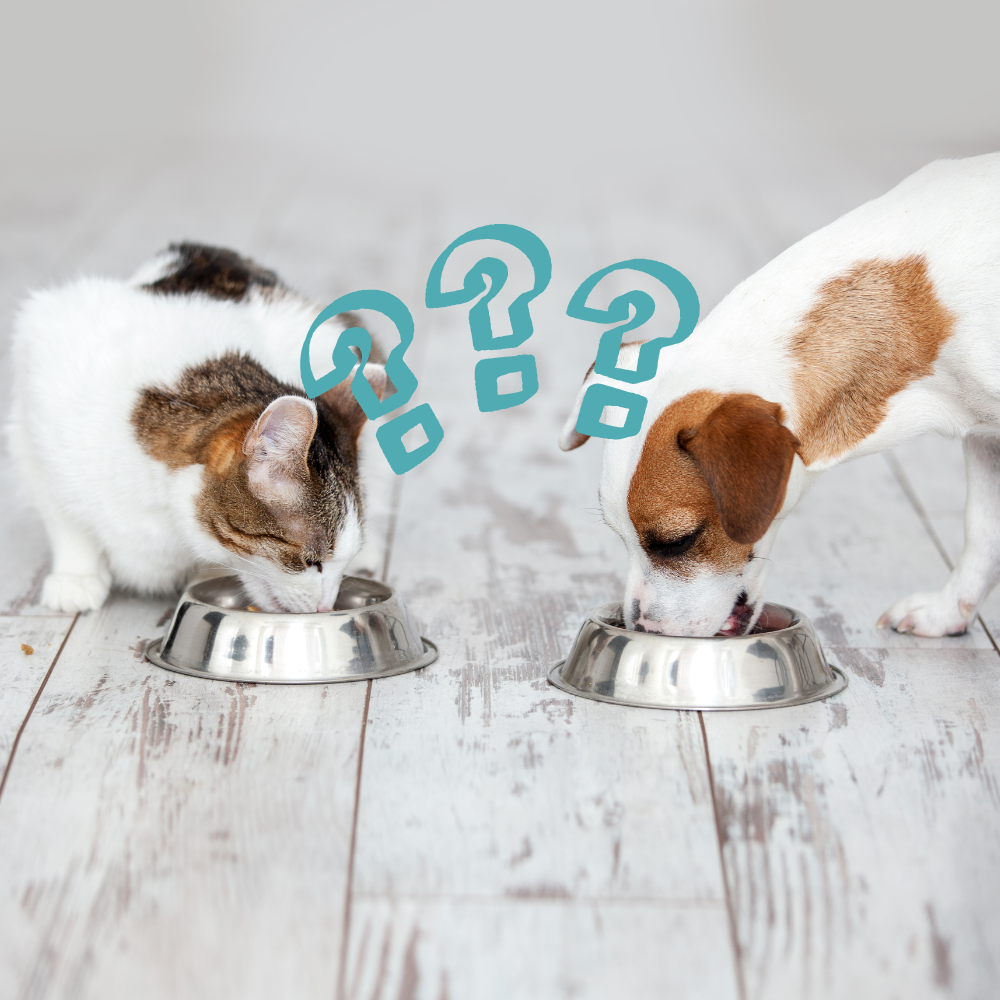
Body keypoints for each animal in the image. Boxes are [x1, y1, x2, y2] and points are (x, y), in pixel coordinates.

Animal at [6, 244, 390, 616]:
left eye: (339, 563)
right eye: (312, 562)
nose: (327, 606)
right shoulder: (37, 395)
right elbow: (62, 514)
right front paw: (76, 574)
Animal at [560, 156, 1000, 640]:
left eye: (678, 541)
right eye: (617, 534)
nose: (644, 629)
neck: (923, 303)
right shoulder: (985, 441)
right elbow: (982, 530)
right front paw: (948, 610)